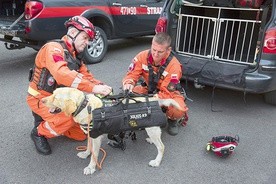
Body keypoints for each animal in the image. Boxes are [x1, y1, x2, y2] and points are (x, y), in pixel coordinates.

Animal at [41, 87, 181, 175]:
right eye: (52, 93)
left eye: (55, 97)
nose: (41, 100)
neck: (85, 106)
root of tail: (154, 99)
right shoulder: (90, 135)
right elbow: (88, 147)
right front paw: (85, 154)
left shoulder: (96, 138)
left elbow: (94, 155)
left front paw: (91, 167)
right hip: (151, 128)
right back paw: (150, 141)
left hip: (152, 130)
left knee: (161, 147)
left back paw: (156, 161)